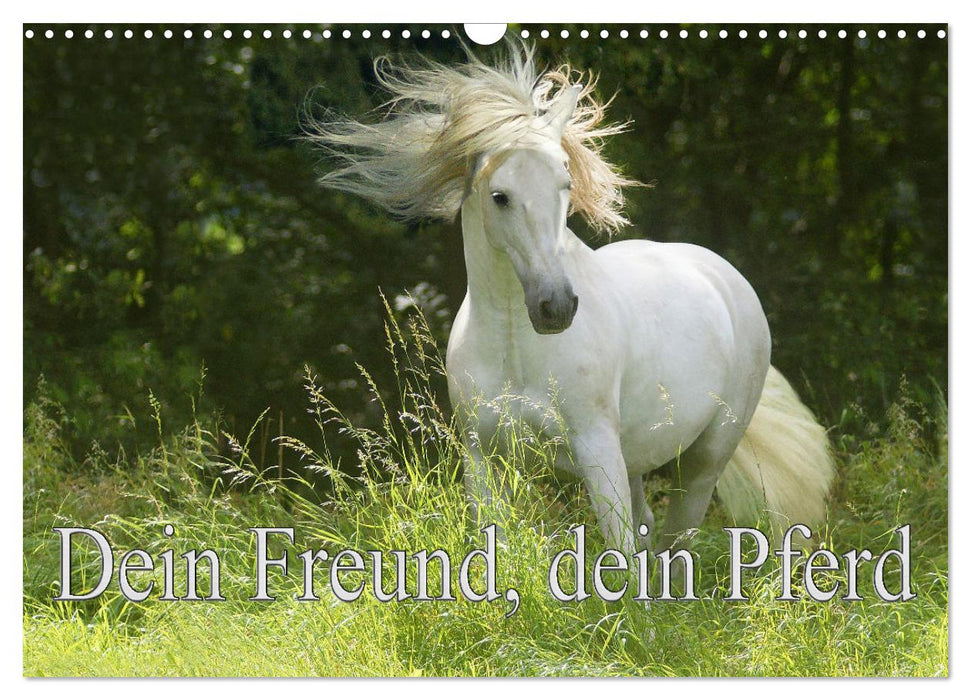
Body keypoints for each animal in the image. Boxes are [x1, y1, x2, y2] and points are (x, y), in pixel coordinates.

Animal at [307, 45, 835, 554]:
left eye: (565, 183)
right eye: (499, 196)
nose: (556, 307)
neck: (515, 347)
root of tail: (725, 277)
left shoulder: (596, 449)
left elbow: (618, 554)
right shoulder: (482, 457)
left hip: (704, 461)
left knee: (677, 540)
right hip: (638, 458)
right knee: (650, 530)